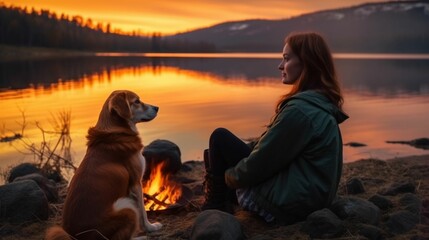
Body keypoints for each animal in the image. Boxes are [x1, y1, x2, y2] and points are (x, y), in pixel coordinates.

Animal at [45, 90, 161, 240]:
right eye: (136, 101)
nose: (157, 108)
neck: (116, 130)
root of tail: (76, 236)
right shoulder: (136, 183)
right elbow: (143, 211)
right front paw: (150, 227)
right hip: (126, 205)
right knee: (119, 237)